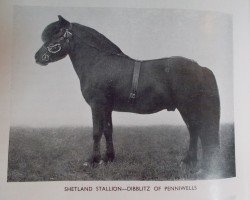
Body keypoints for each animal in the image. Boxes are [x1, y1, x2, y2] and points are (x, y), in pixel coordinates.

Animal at [35, 15, 221, 172]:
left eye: (57, 35)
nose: (37, 57)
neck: (98, 62)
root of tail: (200, 68)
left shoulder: (97, 105)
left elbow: (96, 132)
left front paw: (94, 161)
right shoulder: (107, 107)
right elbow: (108, 130)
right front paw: (109, 158)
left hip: (188, 107)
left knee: (196, 130)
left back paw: (194, 164)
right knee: (194, 130)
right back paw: (190, 161)